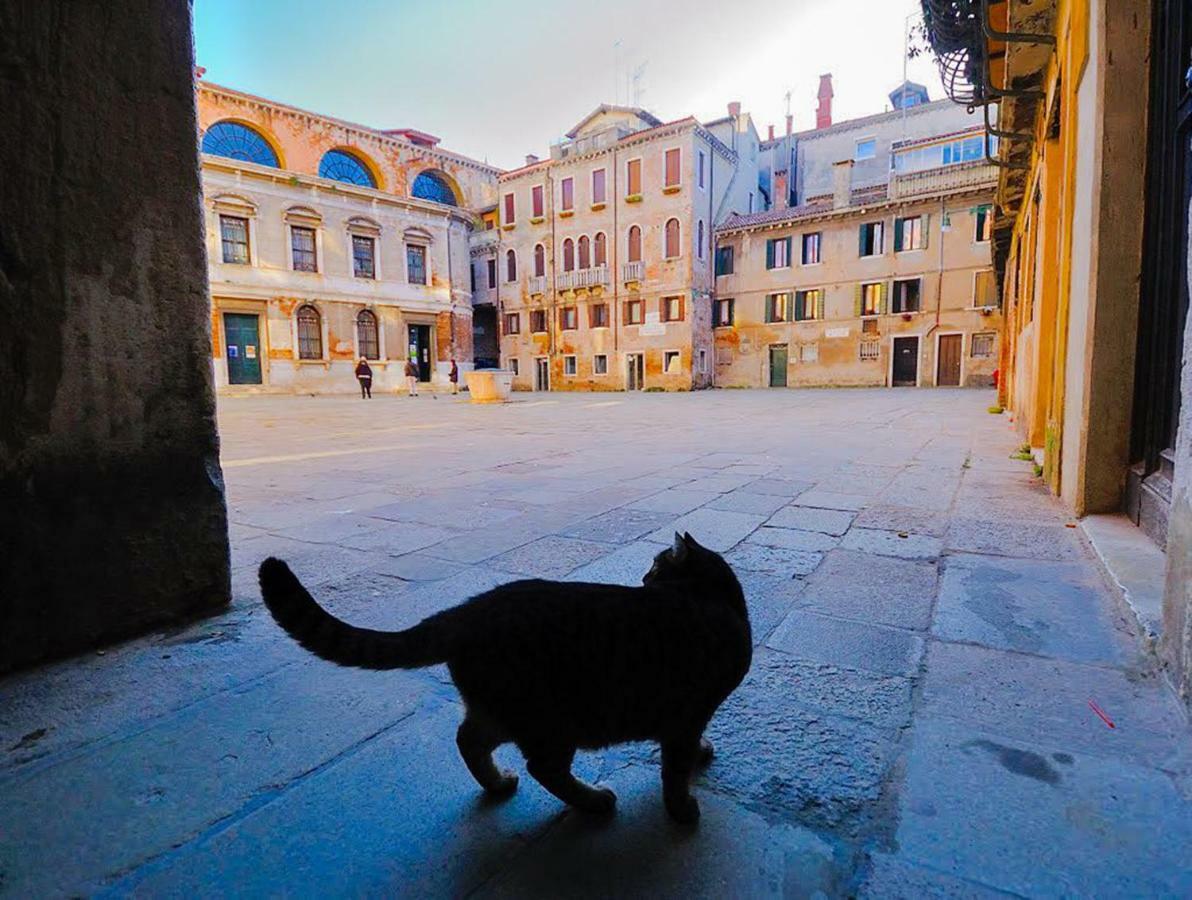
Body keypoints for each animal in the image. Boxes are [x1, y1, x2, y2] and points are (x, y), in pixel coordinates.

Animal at [257, 531, 748, 824]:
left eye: (656, 567)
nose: (644, 577)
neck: (718, 601)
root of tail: (466, 611)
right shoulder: (686, 715)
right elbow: (674, 771)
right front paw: (682, 808)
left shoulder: (685, 721)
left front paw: (701, 756)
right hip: (551, 721)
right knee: (543, 769)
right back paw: (593, 800)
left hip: (501, 710)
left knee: (468, 740)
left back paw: (497, 783)